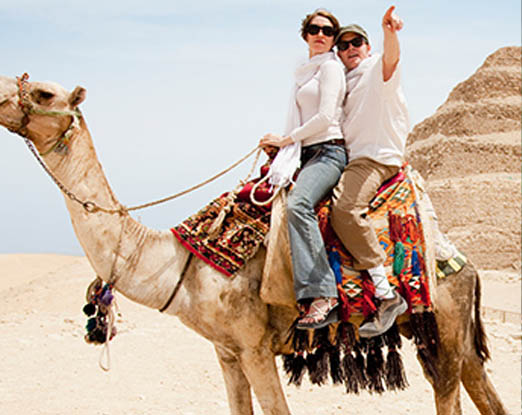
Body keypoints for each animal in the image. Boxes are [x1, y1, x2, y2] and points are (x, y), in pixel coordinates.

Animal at [0, 75, 506, 415]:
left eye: (44, 93)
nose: (3, 93)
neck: (183, 265)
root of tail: (462, 262)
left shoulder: (255, 346)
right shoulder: (225, 351)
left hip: (440, 328)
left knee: (448, 393)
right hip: (453, 334)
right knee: (484, 390)